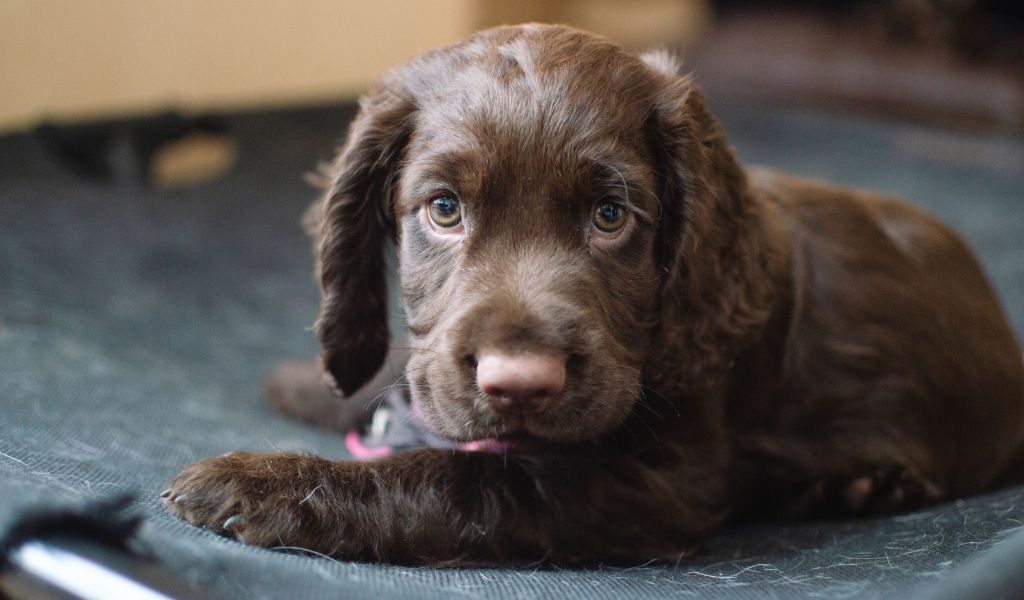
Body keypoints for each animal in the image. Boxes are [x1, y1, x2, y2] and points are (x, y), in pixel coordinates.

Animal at [161, 23, 1024, 565]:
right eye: (443, 209)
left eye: (612, 216)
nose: (519, 384)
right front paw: (308, 384)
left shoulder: (656, 485)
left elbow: (462, 476)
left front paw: (259, 483)